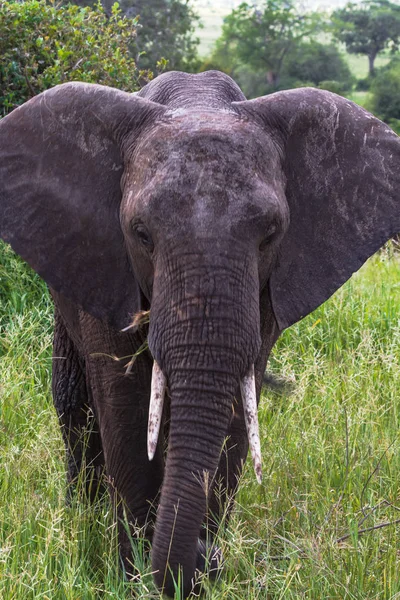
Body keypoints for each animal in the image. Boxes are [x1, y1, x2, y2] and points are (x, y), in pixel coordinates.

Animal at [0, 69, 400, 596]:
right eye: (141, 234)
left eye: (271, 234)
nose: (206, 557)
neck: (198, 102)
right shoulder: (106, 260)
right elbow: (125, 406)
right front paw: (134, 576)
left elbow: (235, 406)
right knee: (73, 406)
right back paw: (79, 516)